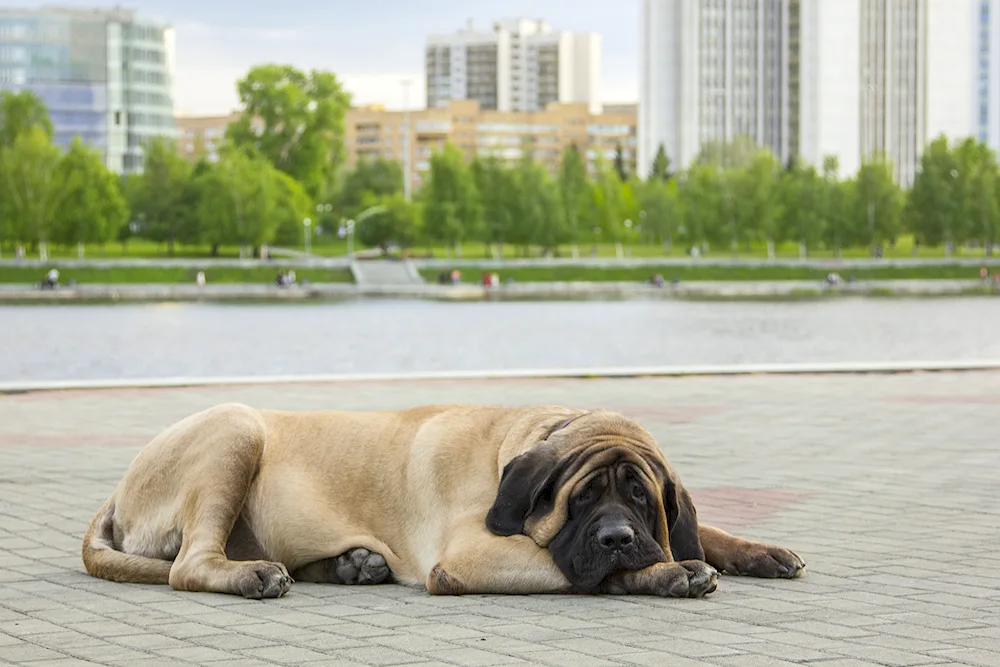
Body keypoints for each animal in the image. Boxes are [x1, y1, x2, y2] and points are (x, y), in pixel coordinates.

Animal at [82, 402, 808, 600]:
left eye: (640, 496)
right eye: (583, 499)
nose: (617, 537)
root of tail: (116, 490)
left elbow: (705, 529)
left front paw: (760, 551)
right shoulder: (470, 555)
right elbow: (578, 571)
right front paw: (666, 572)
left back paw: (353, 565)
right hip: (234, 429)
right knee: (188, 565)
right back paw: (255, 574)